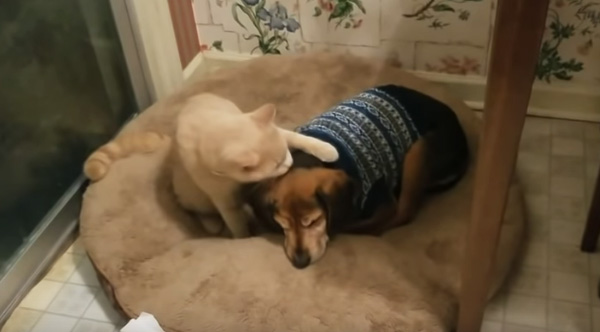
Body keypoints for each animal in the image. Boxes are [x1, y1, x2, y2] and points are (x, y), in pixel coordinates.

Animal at [244, 84, 468, 268]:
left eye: (314, 221)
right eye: (283, 225)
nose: (300, 263)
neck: (305, 159)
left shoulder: (383, 204)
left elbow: (356, 225)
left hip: (418, 151)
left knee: (404, 213)